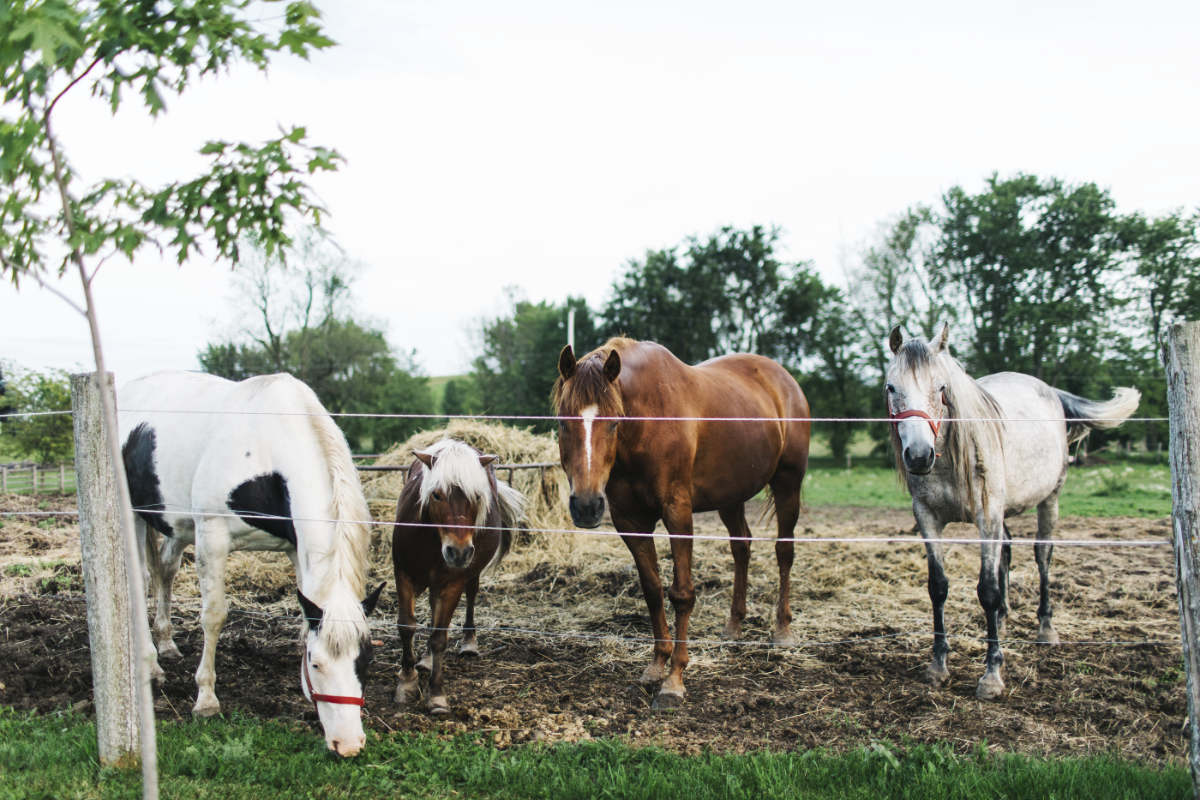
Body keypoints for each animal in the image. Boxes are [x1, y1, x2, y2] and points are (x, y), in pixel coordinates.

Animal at [117, 371, 384, 757]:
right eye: (316, 663)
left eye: (365, 659)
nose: (347, 744)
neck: (267, 450)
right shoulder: (212, 537)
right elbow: (214, 616)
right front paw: (206, 700)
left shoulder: (296, 548)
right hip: (134, 514)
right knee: (138, 580)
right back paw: (151, 665)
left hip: (175, 525)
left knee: (164, 570)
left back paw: (166, 643)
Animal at [392, 438, 526, 714]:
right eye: (436, 494)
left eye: (477, 495)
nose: (459, 552)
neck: (431, 538)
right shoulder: (403, 573)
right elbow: (407, 626)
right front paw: (407, 682)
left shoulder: (452, 583)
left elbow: (440, 637)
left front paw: (436, 695)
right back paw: (426, 660)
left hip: (467, 575)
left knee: (471, 595)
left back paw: (468, 643)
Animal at [553, 337, 812, 708]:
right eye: (563, 422)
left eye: (614, 422)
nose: (587, 506)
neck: (647, 421)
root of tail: (784, 380)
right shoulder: (629, 520)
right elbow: (652, 590)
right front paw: (656, 667)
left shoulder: (677, 511)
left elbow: (682, 594)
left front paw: (674, 681)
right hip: (730, 496)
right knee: (741, 548)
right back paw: (733, 627)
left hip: (788, 483)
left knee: (784, 552)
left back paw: (782, 630)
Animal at [885, 325, 1140, 700]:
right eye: (892, 387)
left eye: (942, 387)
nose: (918, 456)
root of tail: (1050, 391)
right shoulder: (928, 518)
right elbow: (938, 587)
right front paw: (938, 665)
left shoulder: (987, 516)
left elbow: (987, 590)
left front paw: (991, 676)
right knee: (1006, 552)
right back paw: (1003, 619)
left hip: (1049, 500)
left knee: (1042, 555)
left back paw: (1046, 628)